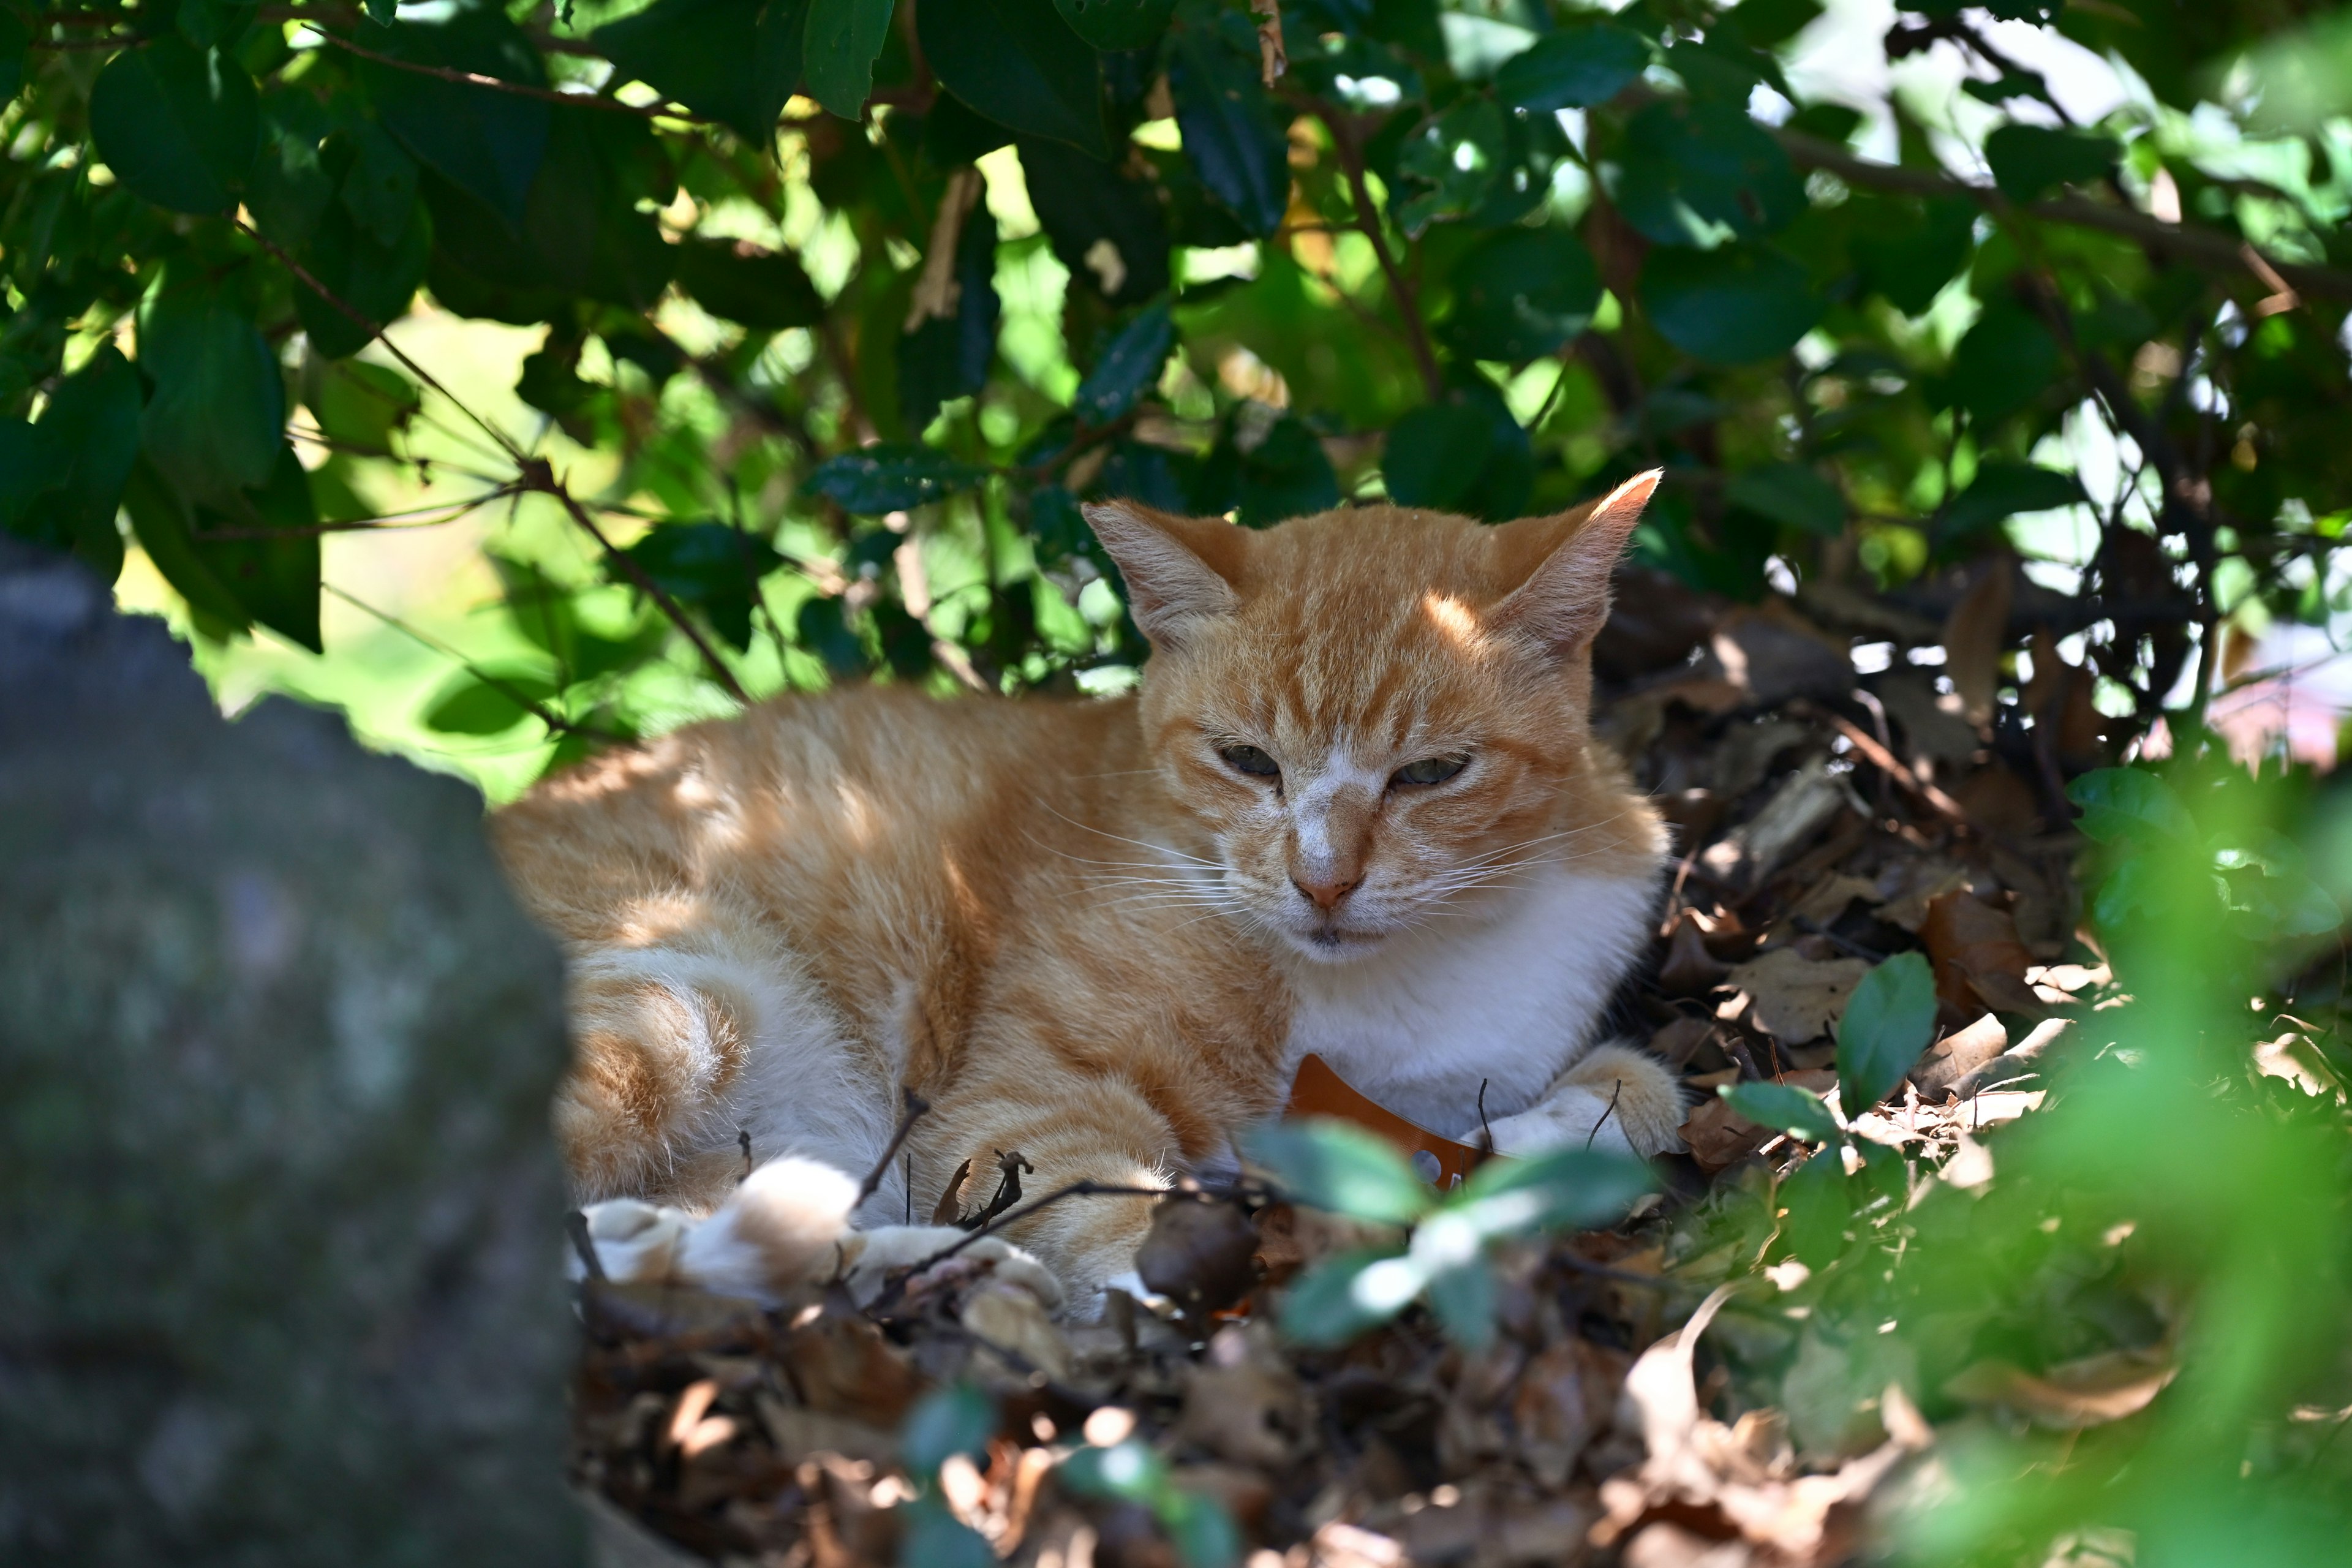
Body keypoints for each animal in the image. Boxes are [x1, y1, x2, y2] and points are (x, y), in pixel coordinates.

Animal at [491, 475, 1675, 1316]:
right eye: (1247, 761)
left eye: (1432, 774)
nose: (1323, 879)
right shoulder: (1014, 1108)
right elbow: (1111, 1198)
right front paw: (1187, 1282)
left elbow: (1646, 1090)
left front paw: (1526, 1147)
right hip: (684, 997)